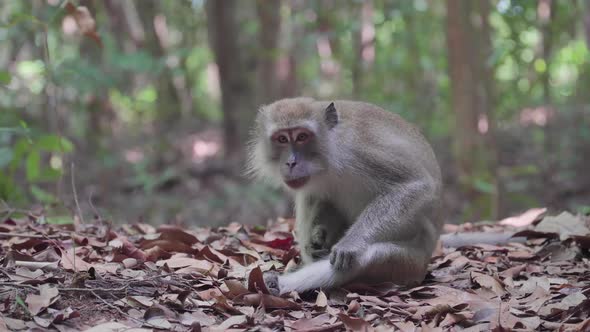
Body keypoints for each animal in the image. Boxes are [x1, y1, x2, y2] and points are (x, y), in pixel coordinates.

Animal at [247, 97, 446, 294]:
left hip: (410, 265)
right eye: (282, 139)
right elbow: (321, 199)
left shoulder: (359, 152)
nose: (290, 162)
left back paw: (281, 284)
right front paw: (317, 237)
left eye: (302, 136)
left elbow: (414, 185)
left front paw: (349, 244)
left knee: (366, 257)